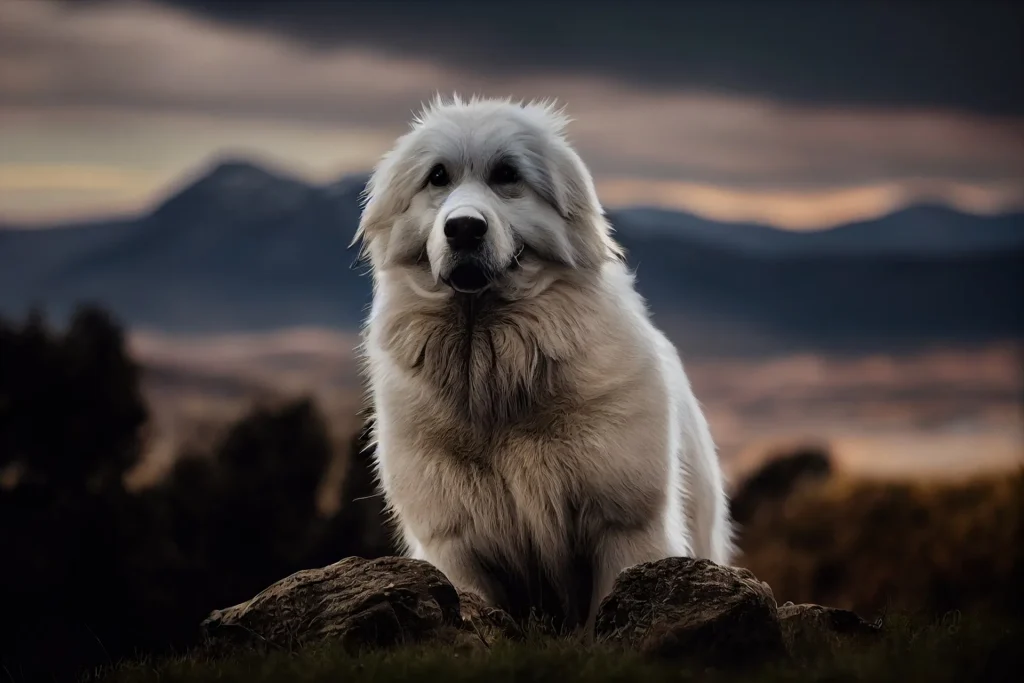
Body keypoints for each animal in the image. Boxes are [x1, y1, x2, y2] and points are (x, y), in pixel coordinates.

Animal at [354, 94, 737, 630]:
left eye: (507, 174)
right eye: (437, 177)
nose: (464, 228)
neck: (493, 374)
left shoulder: (626, 526)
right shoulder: (455, 545)